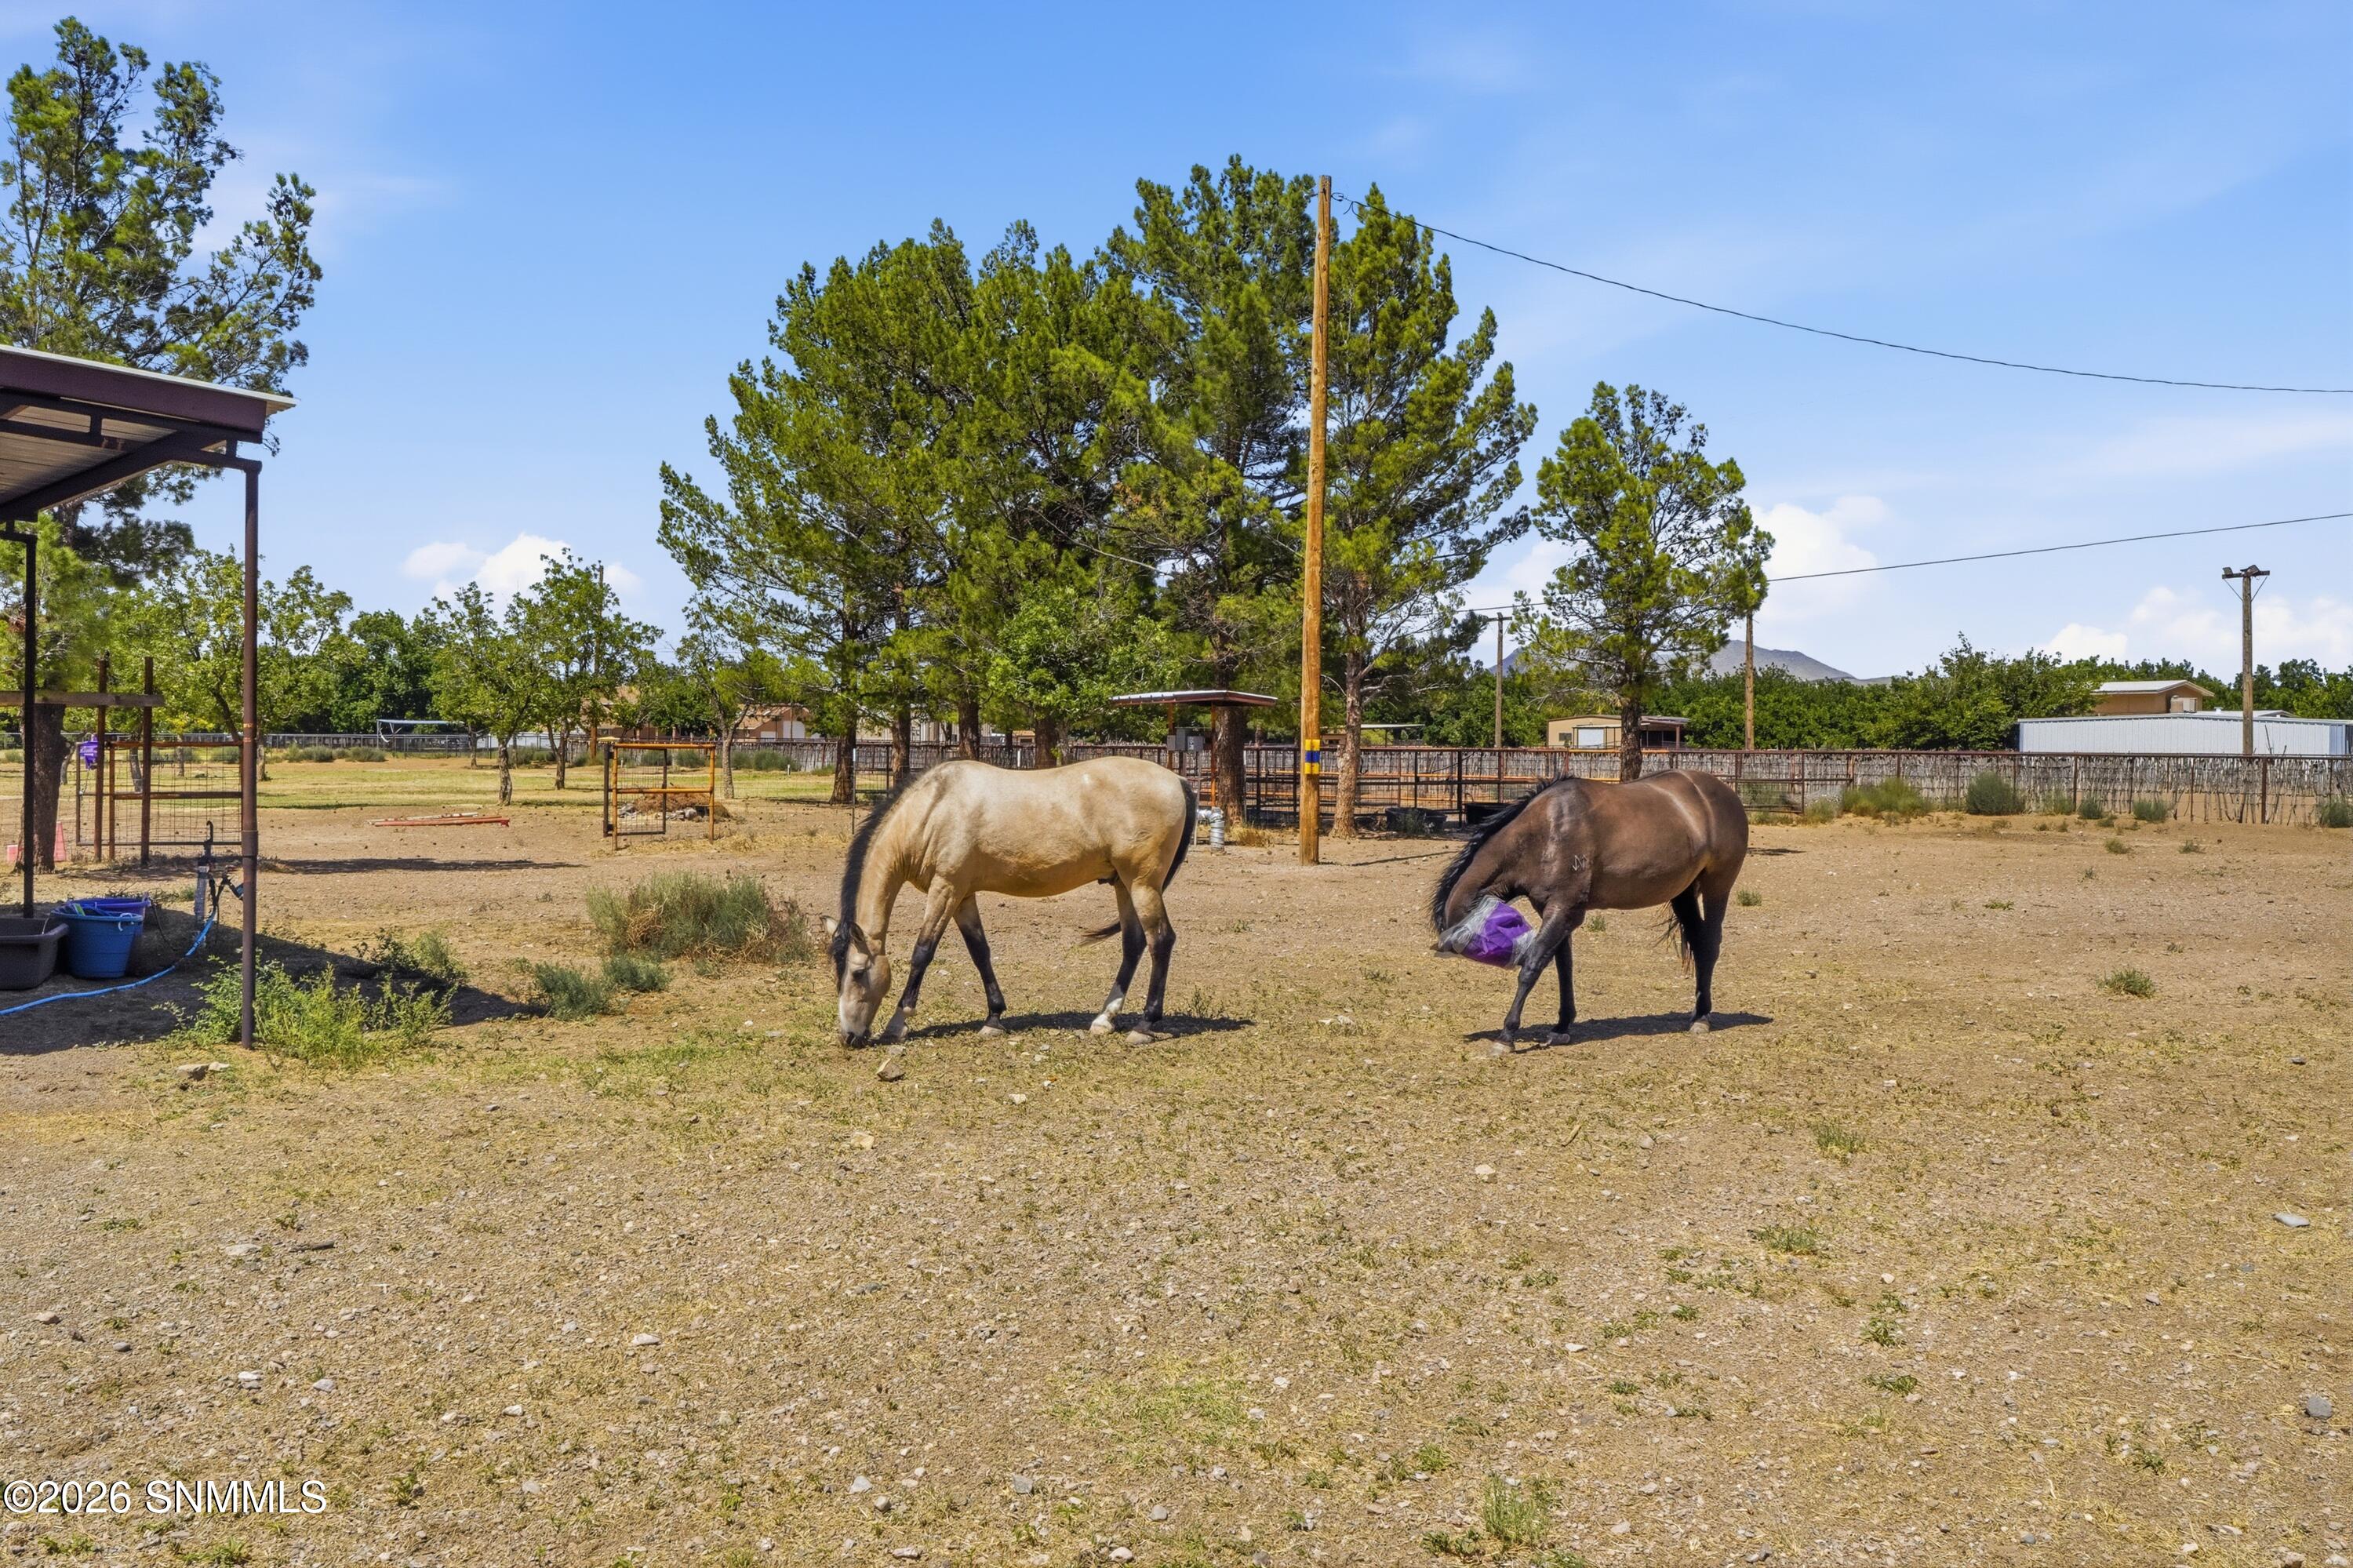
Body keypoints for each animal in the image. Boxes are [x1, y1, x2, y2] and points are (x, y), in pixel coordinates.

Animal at [821, 757, 1197, 1048]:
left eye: (857, 973)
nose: (848, 1036)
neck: (933, 808)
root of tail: (1177, 781)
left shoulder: (945, 889)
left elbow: (922, 952)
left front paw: (899, 1023)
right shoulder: (962, 895)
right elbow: (980, 952)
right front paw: (994, 1018)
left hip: (1143, 884)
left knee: (1160, 941)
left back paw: (1144, 1026)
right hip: (1124, 885)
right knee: (1133, 944)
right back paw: (1104, 1019)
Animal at [1430, 770, 1748, 1050]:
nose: (1515, 954)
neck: (1545, 831)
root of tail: (1723, 793)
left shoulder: (1564, 910)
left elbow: (1533, 966)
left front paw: (1506, 1036)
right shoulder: (1555, 911)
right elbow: (1562, 967)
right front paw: (1561, 1027)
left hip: (1718, 886)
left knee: (1710, 946)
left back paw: (1703, 1018)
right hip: (1683, 894)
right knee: (1700, 944)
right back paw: (1698, 1013)